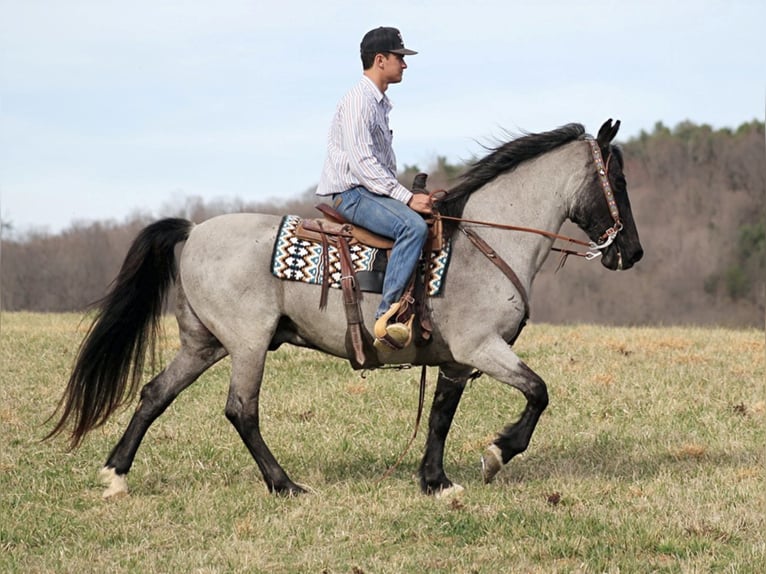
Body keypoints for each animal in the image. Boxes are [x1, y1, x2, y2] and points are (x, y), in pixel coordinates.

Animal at [48, 120, 640, 500]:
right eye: (618, 179)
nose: (631, 253)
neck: (487, 243)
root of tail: (193, 231)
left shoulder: (457, 358)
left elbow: (441, 415)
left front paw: (435, 482)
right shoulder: (482, 347)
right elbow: (538, 392)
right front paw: (497, 453)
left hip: (204, 344)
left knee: (155, 395)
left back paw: (116, 475)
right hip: (248, 343)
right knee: (241, 410)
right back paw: (285, 485)